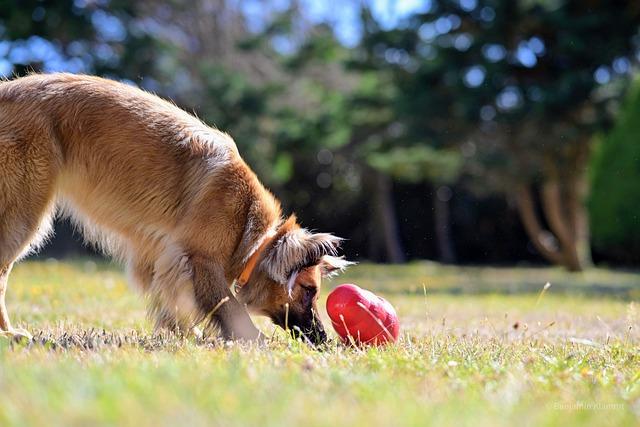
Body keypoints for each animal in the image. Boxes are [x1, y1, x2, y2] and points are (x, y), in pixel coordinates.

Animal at [0, 73, 350, 346]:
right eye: (308, 290)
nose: (323, 339)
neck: (253, 237)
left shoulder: (160, 256)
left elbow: (171, 304)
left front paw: (186, 335)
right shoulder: (200, 260)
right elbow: (230, 307)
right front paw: (257, 342)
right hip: (23, 217)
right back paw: (10, 335)